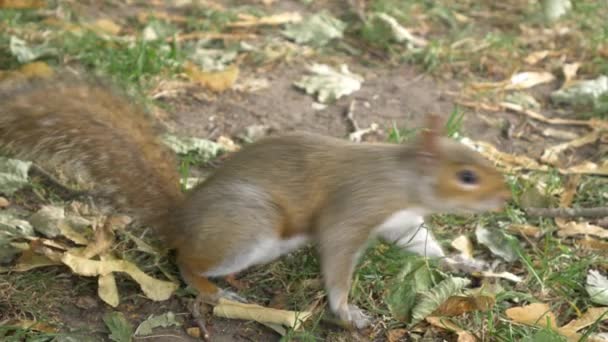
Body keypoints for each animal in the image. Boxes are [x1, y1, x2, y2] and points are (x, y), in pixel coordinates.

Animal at [0, 75, 510, 328]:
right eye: (466, 177)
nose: (505, 195)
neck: (401, 178)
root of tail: (179, 220)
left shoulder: (402, 222)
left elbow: (423, 247)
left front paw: (467, 264)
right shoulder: (354, 211)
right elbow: (337, 259)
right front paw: (346, 312)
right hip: (249, 227)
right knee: (186, 261)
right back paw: (212, 290)